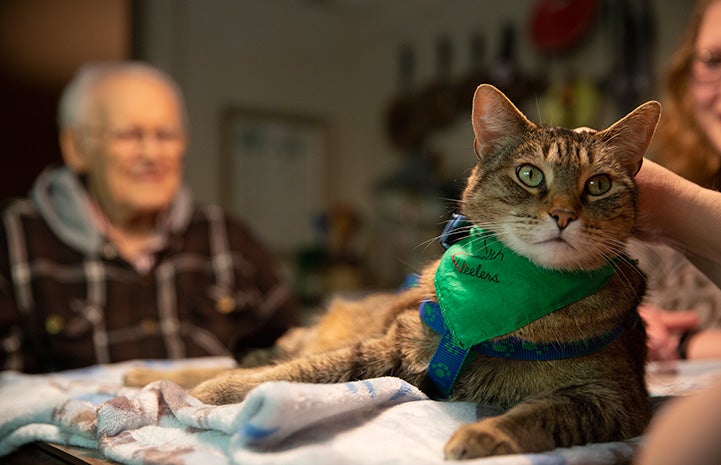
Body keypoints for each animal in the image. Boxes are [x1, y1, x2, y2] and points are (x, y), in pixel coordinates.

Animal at [124, 84, 660, 460]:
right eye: (530, 175)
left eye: (599, 184)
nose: (564, 215)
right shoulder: (391, 346)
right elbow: (297, 372)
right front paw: (213, 393)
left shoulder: (614, 400)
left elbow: (539, 416)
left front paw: (485, 433)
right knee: (267, 355)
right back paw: (149, 376)